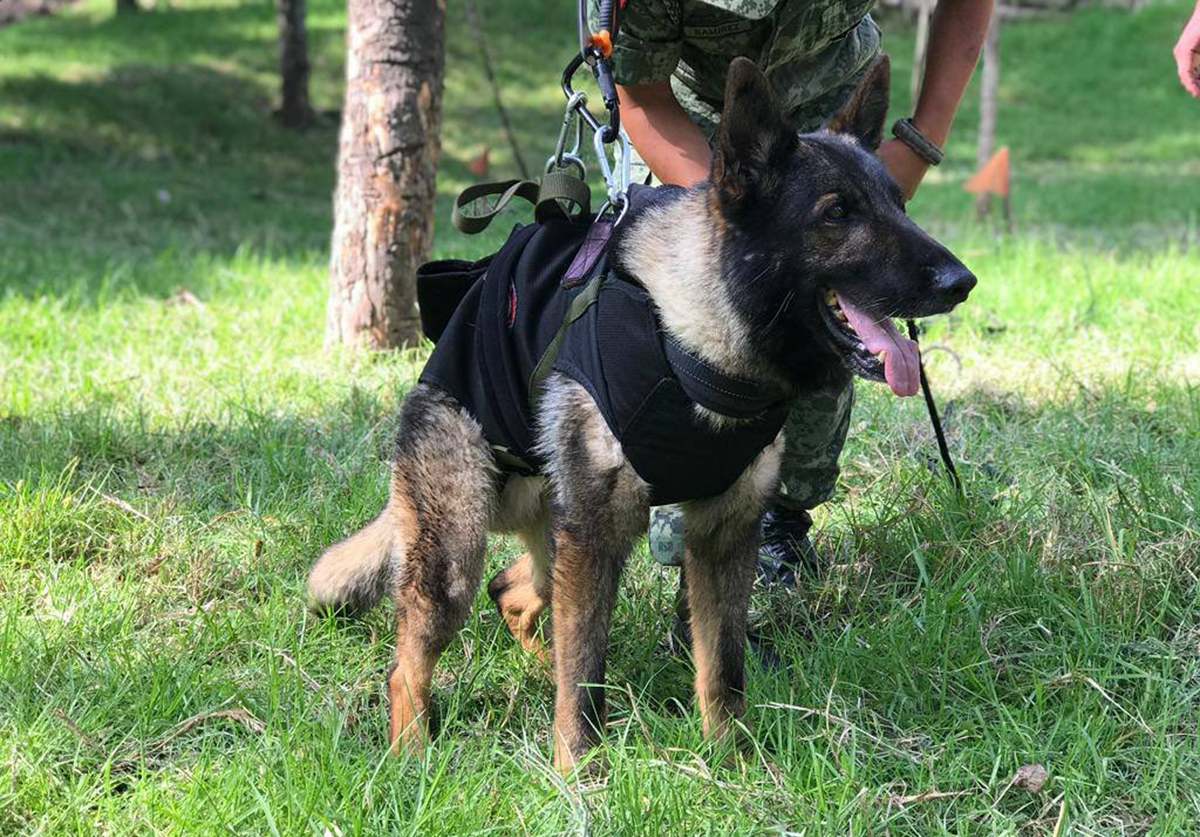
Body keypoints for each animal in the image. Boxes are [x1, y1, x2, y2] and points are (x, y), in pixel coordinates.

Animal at [307, 55, 976, 774]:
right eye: (837, 213)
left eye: (898, 204)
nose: (961, 283)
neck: (698, 342)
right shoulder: (600, 538)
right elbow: (586, 675)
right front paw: (579, 774)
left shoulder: (722, 538)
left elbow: (721, 669)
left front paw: (730, 763)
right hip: (461, 552)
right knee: (412, 662)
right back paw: (413, 752)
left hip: (553, 544)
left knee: (512, 591)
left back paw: (536, 671)